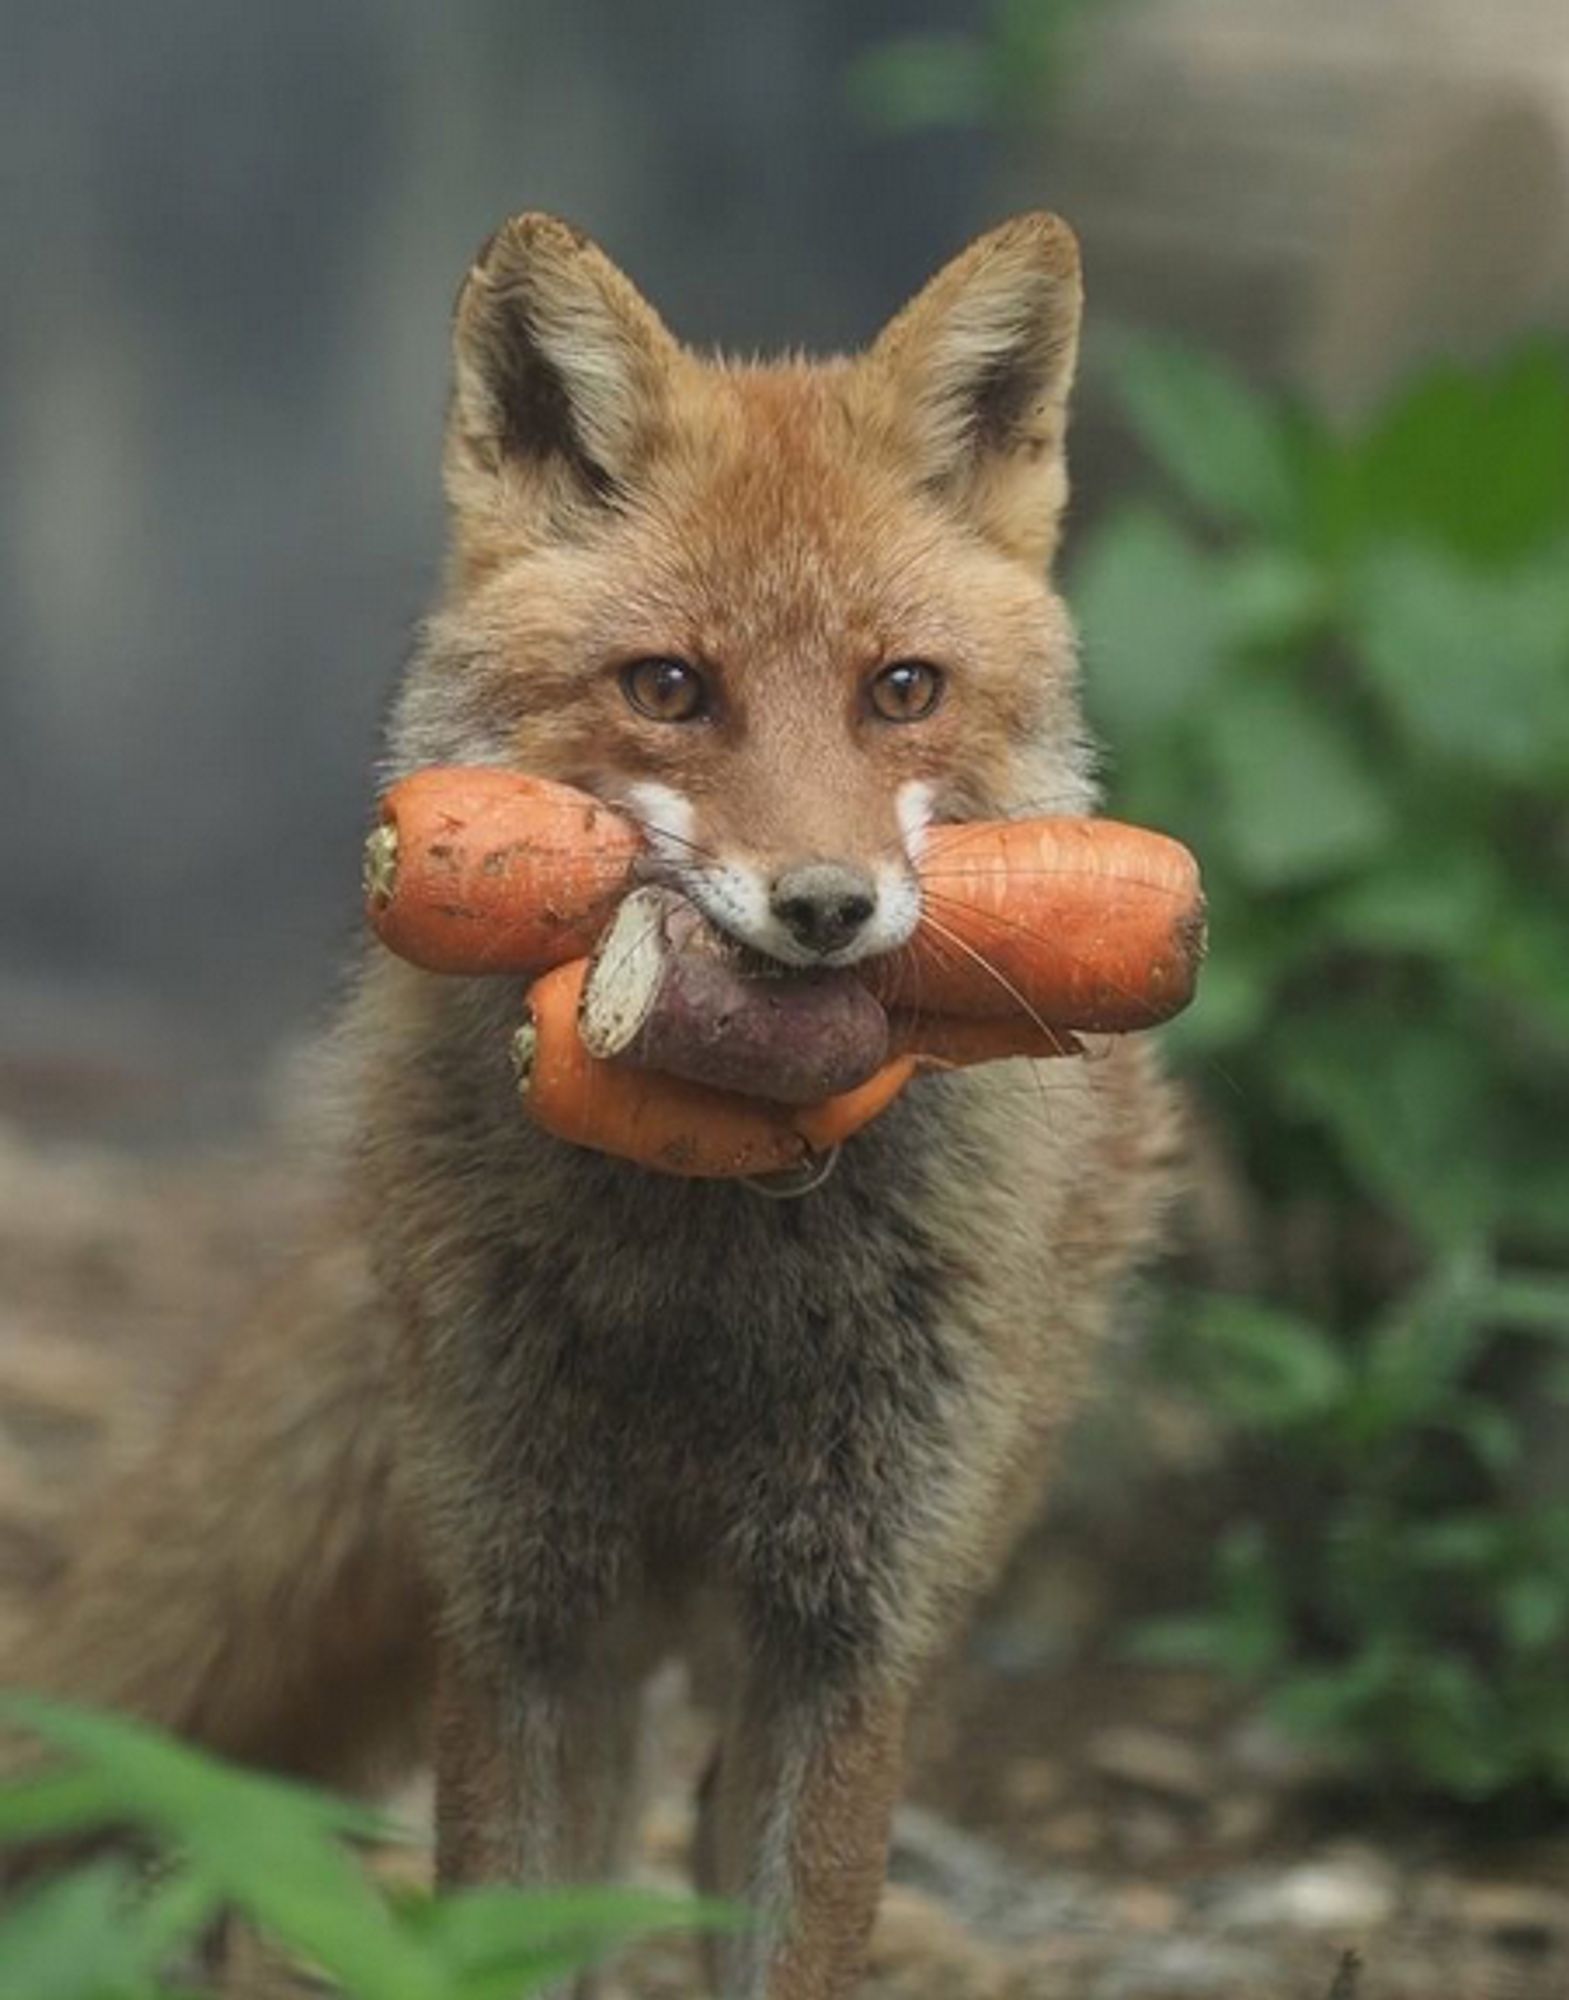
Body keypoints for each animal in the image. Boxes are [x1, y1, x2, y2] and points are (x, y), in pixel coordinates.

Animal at [0, 211, 1176, 1992]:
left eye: (902, 690)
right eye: (668, 687)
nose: (825, 907)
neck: (711, 1233)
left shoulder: (846, 1637)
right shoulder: (524, 1611)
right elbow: (503, 1927)